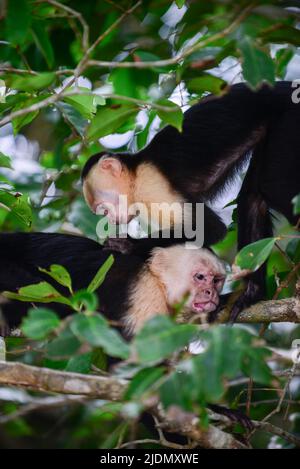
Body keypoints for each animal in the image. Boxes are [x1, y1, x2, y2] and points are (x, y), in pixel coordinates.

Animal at [82, 82, 300, 320]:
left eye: (103, 208)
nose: (111, 218)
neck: (136, 172)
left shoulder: (150, 184)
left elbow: (208, 228)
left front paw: (128, 245)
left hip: (292, 118)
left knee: (275, 187)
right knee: (254, 197)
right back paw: (252, 295)